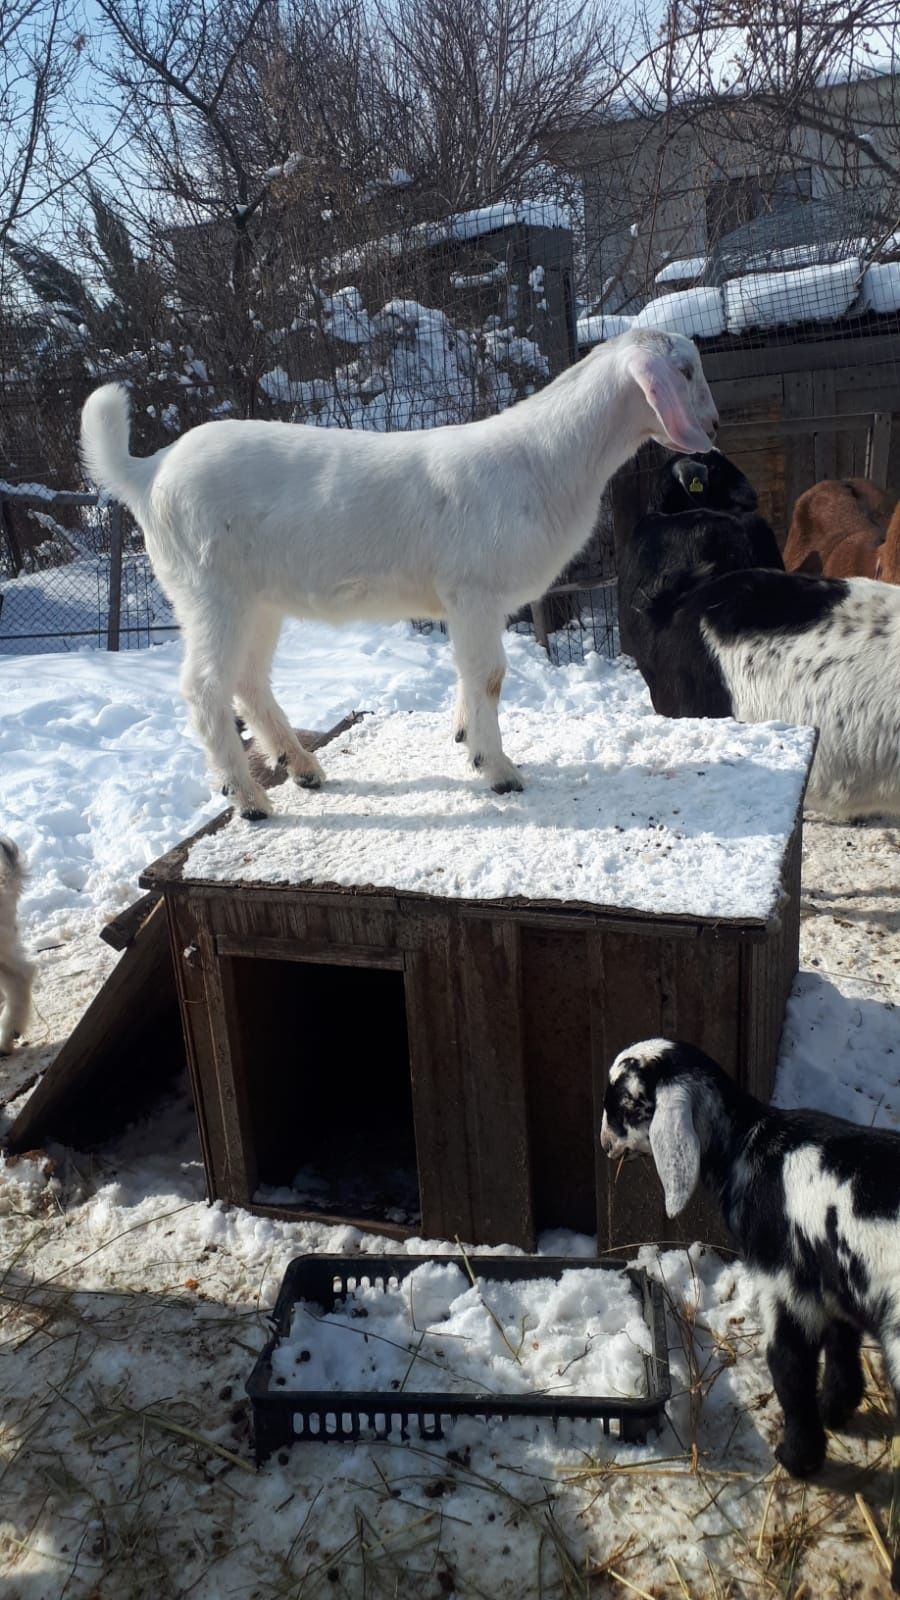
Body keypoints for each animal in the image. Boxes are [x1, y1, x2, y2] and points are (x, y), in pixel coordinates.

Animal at [82, 331, 714, 819]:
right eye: (684, 371)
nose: (711, 421)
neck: (545, 461)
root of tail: (150, 471)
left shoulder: (468, 603)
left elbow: (469, 672)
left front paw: (463, 736)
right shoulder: (474, 589)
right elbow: (489, 675)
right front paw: (498, 769)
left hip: (258, 600)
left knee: (249, 680)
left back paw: (303, 767)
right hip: (210, 589)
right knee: (205, 687)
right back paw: (251, 801)